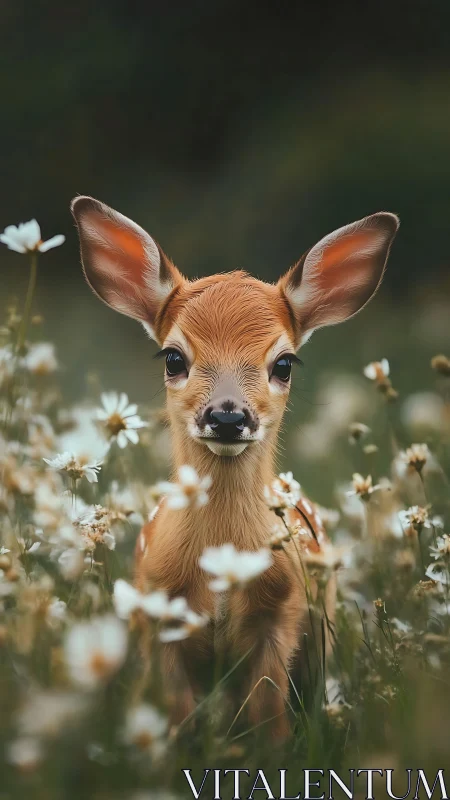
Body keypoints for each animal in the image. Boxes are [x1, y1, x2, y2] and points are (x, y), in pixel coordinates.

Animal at [71, 196, 399, 741]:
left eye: (284, 363)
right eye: (173, 357)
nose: (227, 417)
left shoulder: (281, 614)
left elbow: (267, 714)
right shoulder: (160, 612)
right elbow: (176, 716)